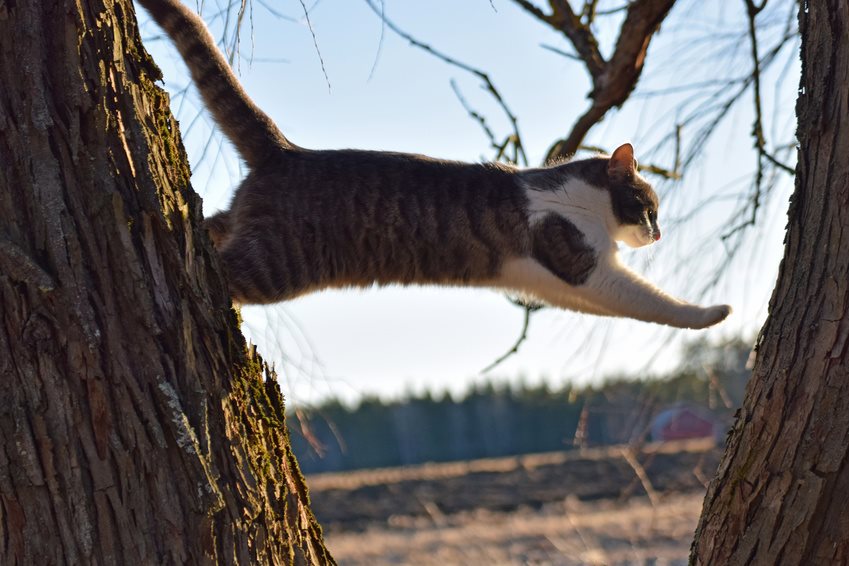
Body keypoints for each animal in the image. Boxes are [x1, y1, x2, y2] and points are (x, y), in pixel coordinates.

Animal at [137, 0, 728, 330]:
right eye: (648, 206)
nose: (658, 235)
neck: (580, 200)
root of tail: (285, 151)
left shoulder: (554, 285)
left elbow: (622, 304)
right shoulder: (582, 263)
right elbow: (649, 300)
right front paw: (711, 315)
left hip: (242, 222)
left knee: (209, 223)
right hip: (277, 263)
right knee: (221, 270)